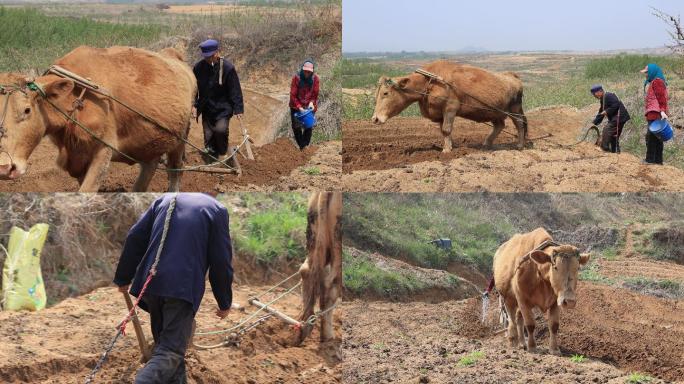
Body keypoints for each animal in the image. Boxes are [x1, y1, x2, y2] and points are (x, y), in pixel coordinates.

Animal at [0, 46, 198, 192]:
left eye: (27, 110)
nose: (4, 167)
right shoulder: (78, 158)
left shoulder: (103, 150)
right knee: (149, 169)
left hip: (180, 139)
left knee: (175, 170)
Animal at [300, 190, 342, 344]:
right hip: (337, 246)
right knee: (331, 285)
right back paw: (328, 337)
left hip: (315, 238)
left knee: (306, 271)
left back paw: (304, 329)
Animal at [372, 60, 528, 152]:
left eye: (385, 93)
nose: (375, 119)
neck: (429, 82)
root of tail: (512, 76)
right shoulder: (440, 114)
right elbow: (443, 131)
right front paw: (449, 146)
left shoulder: (450, 108)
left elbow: (446, 129)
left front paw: (446, 150)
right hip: (494, 112)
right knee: (500, 125)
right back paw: (486, 144)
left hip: (514, 109)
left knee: (520, 124)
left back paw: (520, 145)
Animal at [492, 226, 588, 356]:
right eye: (555, 267)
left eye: (577, 268)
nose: (569, 301)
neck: (538, 271)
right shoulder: (522, 299)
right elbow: (530, 324)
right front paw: (532, 347)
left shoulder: (555, 301)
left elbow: (554, 325)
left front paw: (554, 349)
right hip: (507, 297)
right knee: (511, 318)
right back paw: (513, 340)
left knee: (518, 318)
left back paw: (522, 343)